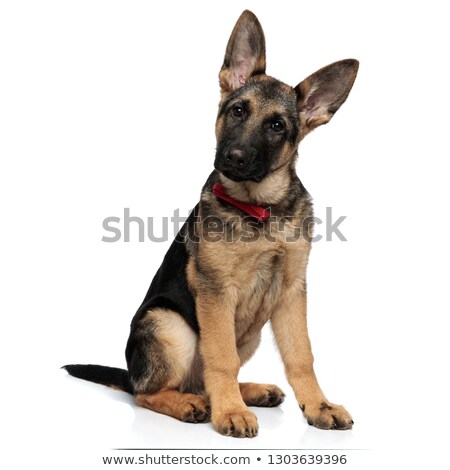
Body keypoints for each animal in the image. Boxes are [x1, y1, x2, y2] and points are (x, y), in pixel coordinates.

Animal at [64, 10, 358, 436]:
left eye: (277, 127)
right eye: (237, 110)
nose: (233, 157)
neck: (260, 209)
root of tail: (131, 373)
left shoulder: (291, 292)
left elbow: (301, 355)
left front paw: (318, 405)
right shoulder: (216, 291)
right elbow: (221, 358)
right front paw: (231, 412)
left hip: (247, 334)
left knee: (202, 381)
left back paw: (248, 392)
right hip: (170, 324)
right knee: (148, 393)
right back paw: (193, 404)